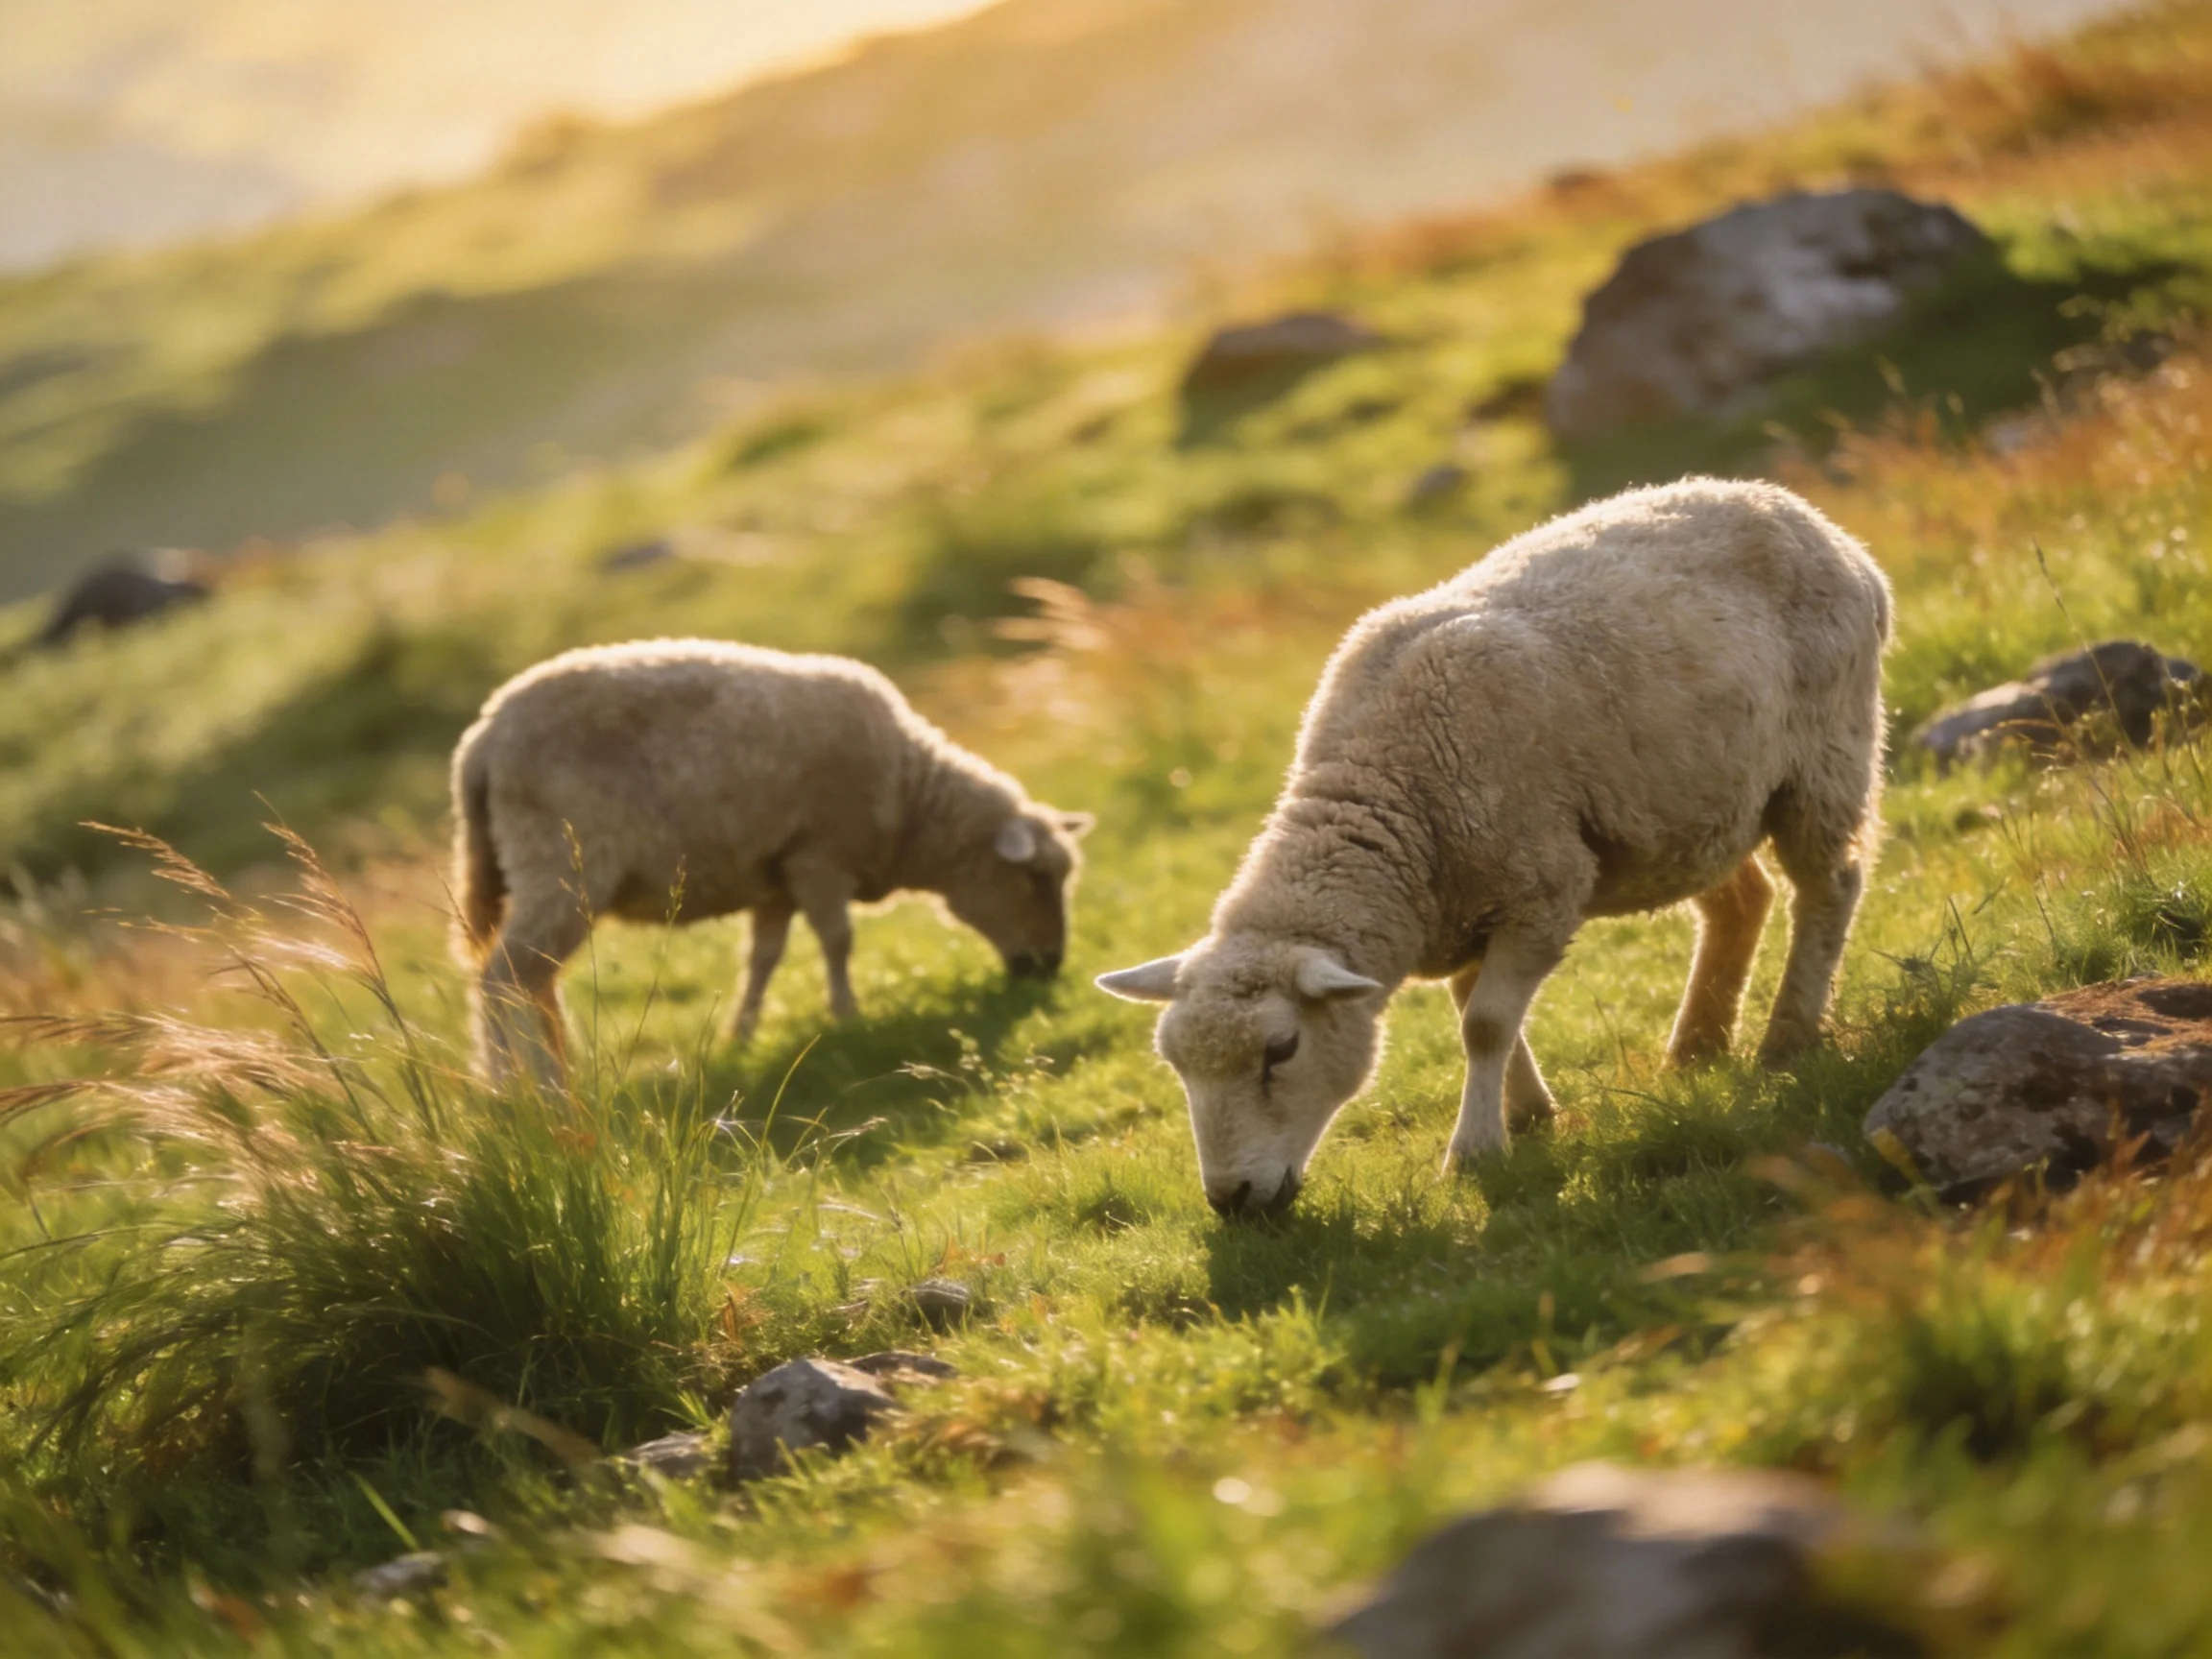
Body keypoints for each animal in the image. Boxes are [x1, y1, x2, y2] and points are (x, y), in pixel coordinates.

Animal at [451, 639, 1093, 1087]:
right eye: (1035, 876)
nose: (1048, 967)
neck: (912, 802)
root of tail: (481, 740)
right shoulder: (819, 857)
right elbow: (838, 941)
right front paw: (848, 1017)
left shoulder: (776, 878)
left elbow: (763, 958)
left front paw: (742, 1034)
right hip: (560, 864)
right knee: (503, 978)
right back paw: (527, 1090)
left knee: (532, 980)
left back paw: (553, 1073)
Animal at [1098, 478, 1890, 1218]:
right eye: (1176, 1064)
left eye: (1280, 1051)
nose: (1231, 1201)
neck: (1390, 793)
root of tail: (1808, 518)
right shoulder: (1462, 904)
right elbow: (1471, 1009)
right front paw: (1527, 1114)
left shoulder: (1541, 888)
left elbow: (1482, 1025)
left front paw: (1476, 1150)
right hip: (1690, 810)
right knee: (1743, 900)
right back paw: (1696, 1048)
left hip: (1825, 756)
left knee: (1831, 887)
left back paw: (1788, 1037)